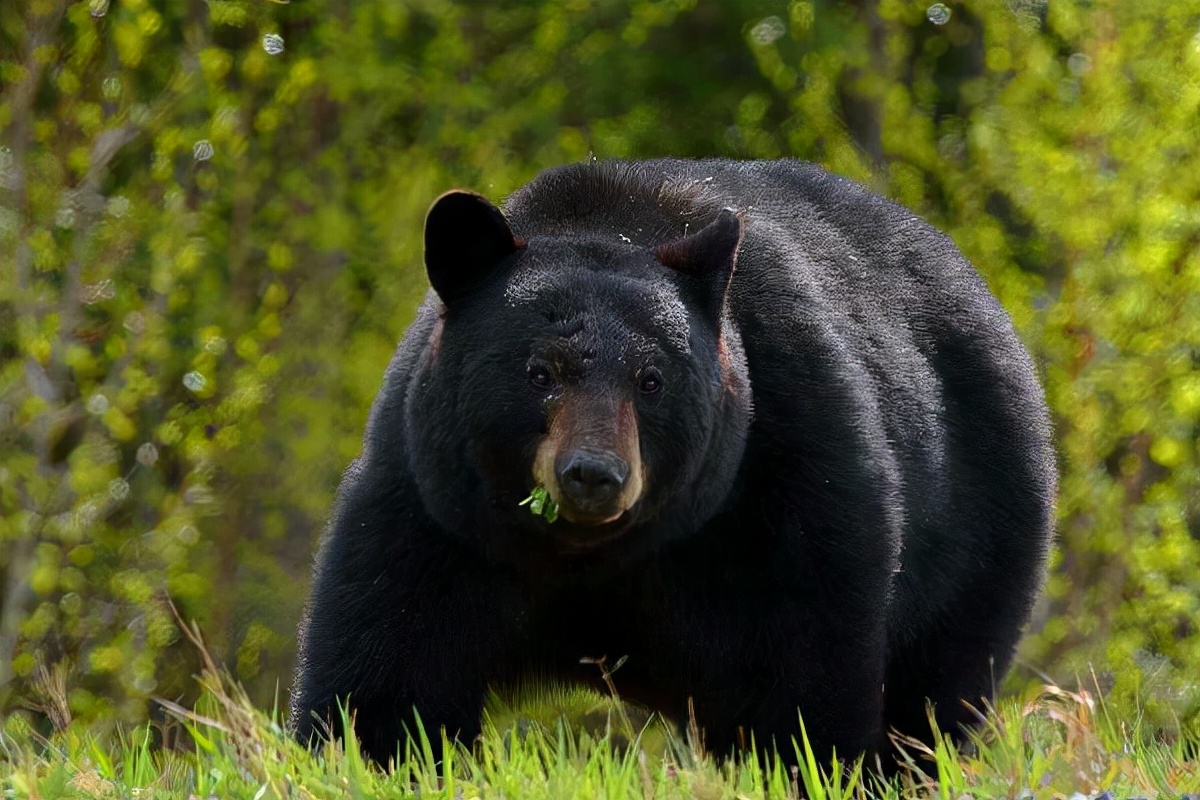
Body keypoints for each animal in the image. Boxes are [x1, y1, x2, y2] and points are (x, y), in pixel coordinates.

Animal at [295, 158, 1056, 767]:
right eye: (541, 372)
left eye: (651, 379)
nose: (593, 475)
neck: (589, 556)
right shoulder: (434, 505)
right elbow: (389, 667)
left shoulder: (787, 476)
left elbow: (804, 665)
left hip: (982, 532)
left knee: (931, 698)